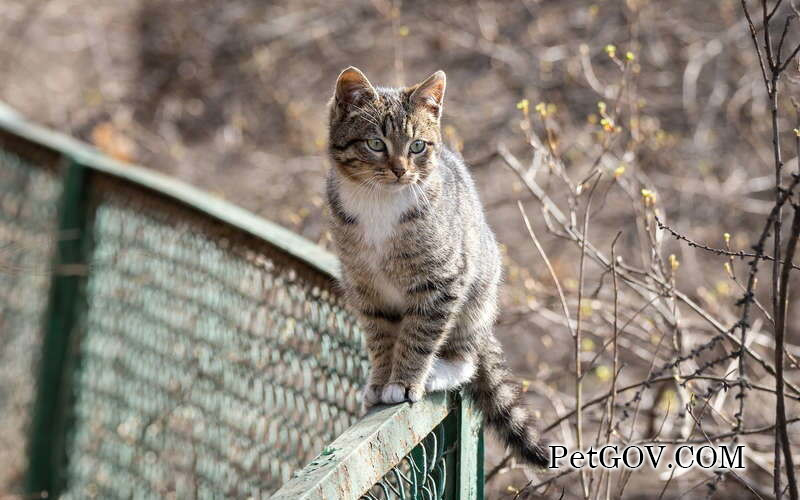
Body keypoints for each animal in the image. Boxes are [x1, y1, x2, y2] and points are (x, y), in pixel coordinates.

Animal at [326, 64, 552, 466]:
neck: (378, 202)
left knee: (466, 357)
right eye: (375, 144)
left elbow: (419, 335)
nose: (400, 171)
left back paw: (439, 370)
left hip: (477, 295)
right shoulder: (364, 287)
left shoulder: (442, 280)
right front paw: (381, 380)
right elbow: (380, 337)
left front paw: (403, 383)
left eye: (417, 146)